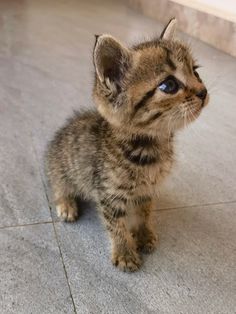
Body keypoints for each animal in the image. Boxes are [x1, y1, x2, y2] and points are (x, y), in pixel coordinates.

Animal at [45, 18, 208, 272]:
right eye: (169, 85)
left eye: (196, 71)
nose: (203, 92)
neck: (149, 148)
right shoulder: (108, 192)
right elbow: (116, 225)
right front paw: (124, 251)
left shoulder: (147, 190)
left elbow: (144, 211)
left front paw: (143, 234)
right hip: (61, 169)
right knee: (59, 186)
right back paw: (66, 204)